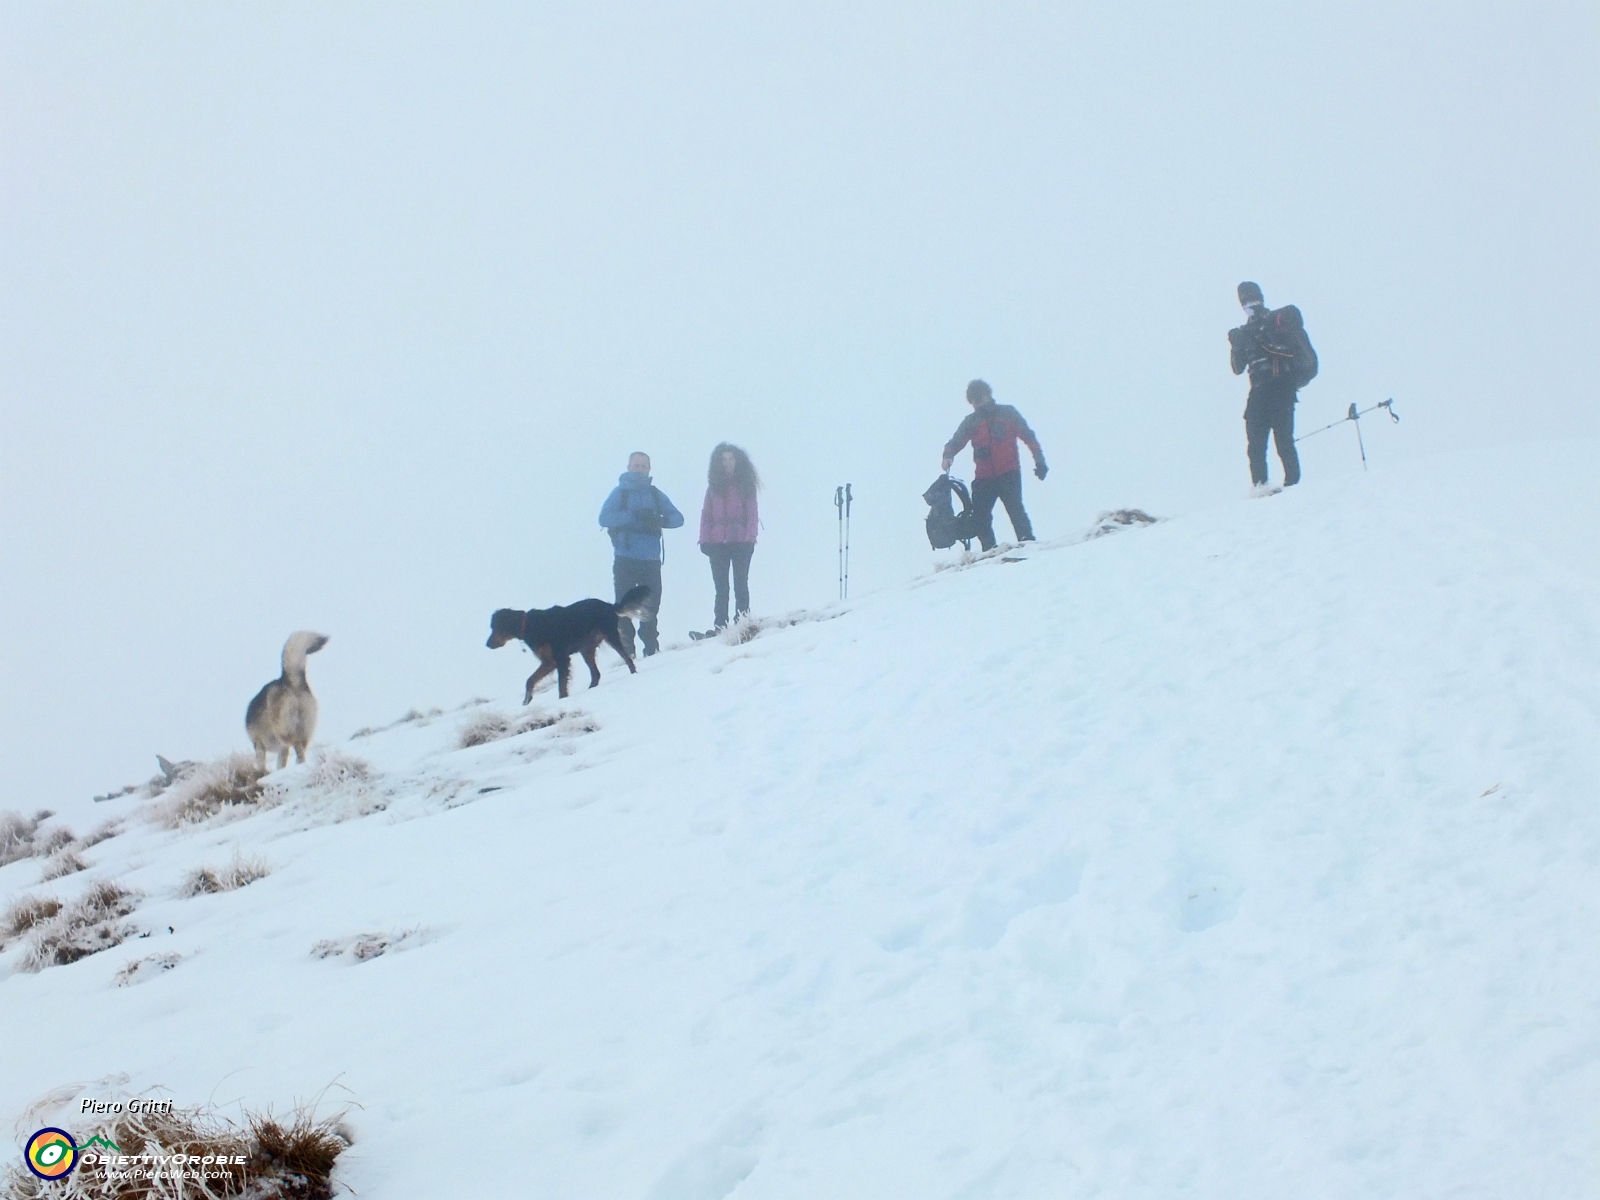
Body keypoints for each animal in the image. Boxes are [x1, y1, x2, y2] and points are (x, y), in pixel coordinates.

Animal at [483, 585, 652, 704]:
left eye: (496, 628)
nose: (487, 644)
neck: (530, 625)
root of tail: (609, 605)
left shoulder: (561, 658)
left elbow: (561, 685)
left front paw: (562, 700)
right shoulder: (549, 661)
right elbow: (530, 679)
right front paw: (527, 699)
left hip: (611, 637)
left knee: (627, 658)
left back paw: (633, 673)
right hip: (587, 648)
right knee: (596, 674)